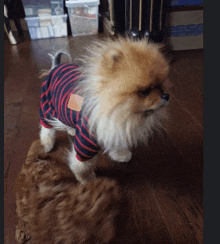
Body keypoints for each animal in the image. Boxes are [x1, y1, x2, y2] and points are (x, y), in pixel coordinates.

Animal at [39, 37, 170, 184]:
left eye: (161, 84)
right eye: (145, 91)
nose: (166, 96)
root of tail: (55, 66)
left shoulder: (114, 127)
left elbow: (117, 143)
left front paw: (121, 154)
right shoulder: (86, 141)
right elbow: (82, 166)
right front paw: (87, 179)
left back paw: (71, 129)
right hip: (46, 107)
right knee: (46, 129)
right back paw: (47, 144)